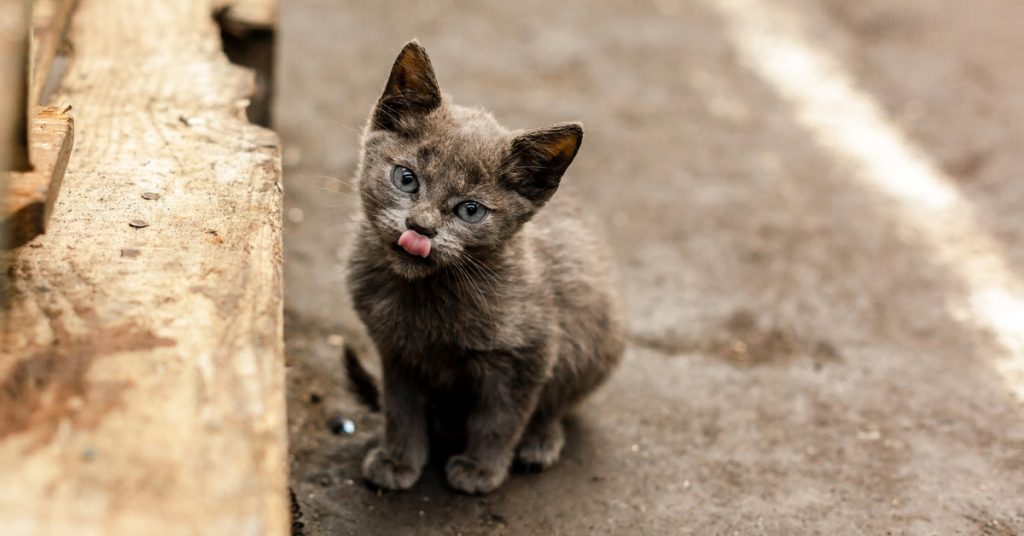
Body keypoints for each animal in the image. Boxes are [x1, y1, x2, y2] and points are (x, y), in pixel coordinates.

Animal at [346, 40, 622, 496]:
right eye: (406, 178)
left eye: (470, 210)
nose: (420, 228)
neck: (426, 294)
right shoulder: (396, 351)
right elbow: (401, 408)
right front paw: (399, 459)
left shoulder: (528, 353)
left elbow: (500, 418)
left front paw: (481, 470)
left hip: (597, 340)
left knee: (558, 403)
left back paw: (539, 441)